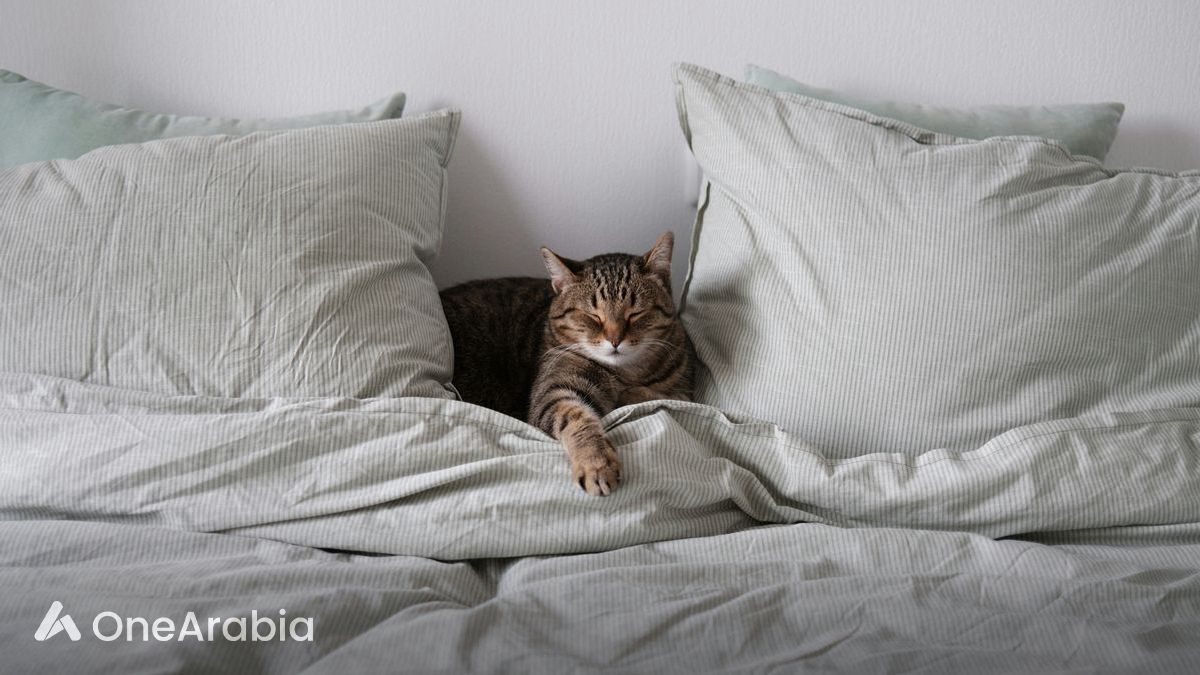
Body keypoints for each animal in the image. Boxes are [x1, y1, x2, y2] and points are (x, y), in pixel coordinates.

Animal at [439, 232, 692, 496]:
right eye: (592, 315)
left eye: (635, 313)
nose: (615, 340)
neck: (625, 374)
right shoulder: (553, 391)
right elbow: (576, 417)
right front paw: (596, 463)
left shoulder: (682, 389)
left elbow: (660, 396)